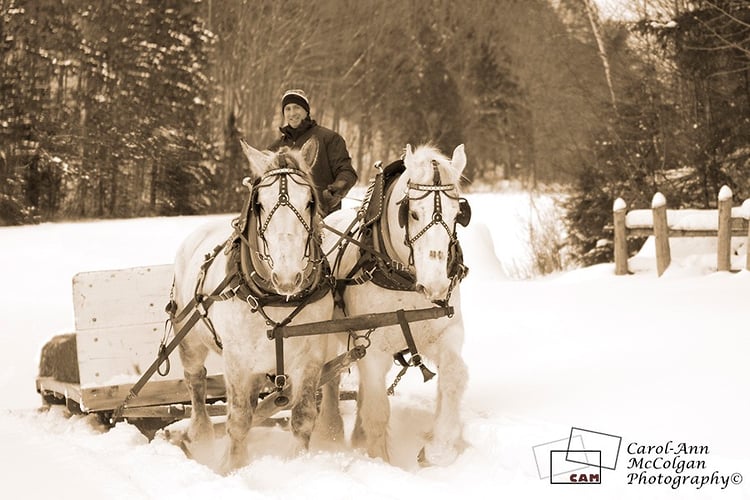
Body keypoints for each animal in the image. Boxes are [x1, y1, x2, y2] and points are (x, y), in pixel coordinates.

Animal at [171, 138, 334, 473]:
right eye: (259, 203)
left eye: (310, 202)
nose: (288, 276)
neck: (276, 297)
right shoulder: (237, 359)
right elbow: (238, 419)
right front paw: (232, 466)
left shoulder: (311, 355)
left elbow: (303, 416)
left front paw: (298, 464)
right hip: (190, 340)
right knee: (196, 381)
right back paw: (200, 434)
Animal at [319, 143, 471, 466]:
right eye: (412, 213)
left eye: (458, 214)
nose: (436, 285)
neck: (404, 281)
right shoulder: (372, 347)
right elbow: (377, 410)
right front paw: (381, 462)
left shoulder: (448, 330)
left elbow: (453, 376)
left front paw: (439, 446)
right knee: (329, 379)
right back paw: (330, 432)